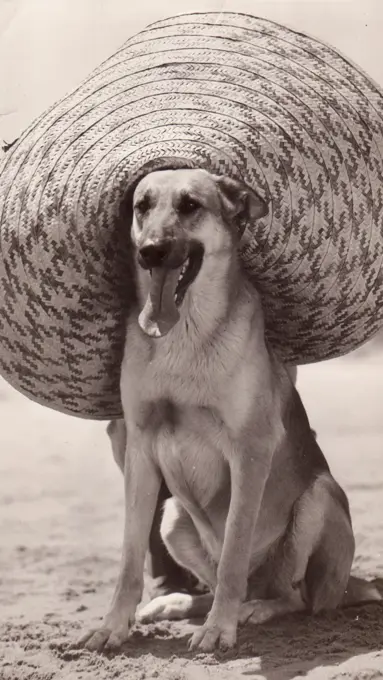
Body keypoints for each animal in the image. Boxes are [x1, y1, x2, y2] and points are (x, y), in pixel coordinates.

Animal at [79, 167, 380, 652]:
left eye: (190, 205)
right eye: (142, 206)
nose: (150, 251)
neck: (184, 336)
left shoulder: (250, 451)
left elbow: (236, 548)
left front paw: (220, 628)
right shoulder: (140, 450)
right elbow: (128, 559)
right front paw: (113, 626)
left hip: (317, 499)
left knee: (291, 596)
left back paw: (250, 610)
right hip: (172, 517)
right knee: (222, 578)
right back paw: (180, 603)